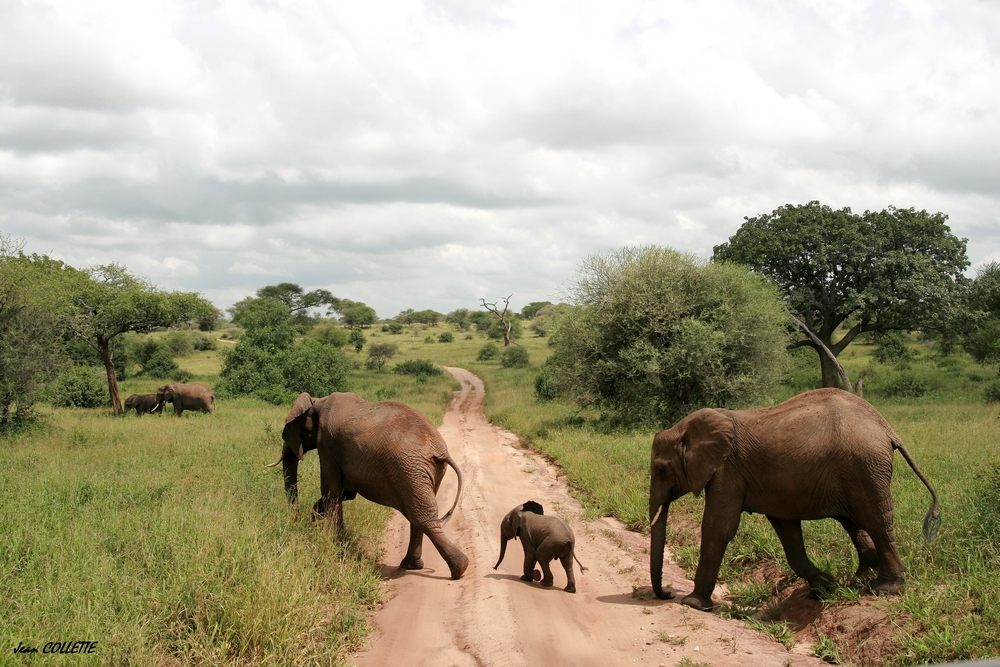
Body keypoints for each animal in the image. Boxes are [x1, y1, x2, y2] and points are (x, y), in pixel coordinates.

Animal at [266, 392, 468, 580]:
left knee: (421, 516)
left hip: (410, 470)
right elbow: (345, 492)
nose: (298, 523)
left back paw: (459, 568)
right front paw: (318, 517)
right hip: (424, 471)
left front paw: (336, 546)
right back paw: (413, 566)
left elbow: (332, 491)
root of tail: (440, 451)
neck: (317, 401)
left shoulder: (326, 444)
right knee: (418, 516)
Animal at [648, 388, 936, 612]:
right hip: (857, 471)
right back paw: (860, 578)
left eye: (660, 470)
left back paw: (885, 587)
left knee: (876, 521)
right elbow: (789, 535)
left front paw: (693, 604)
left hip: (865, 466)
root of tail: (885, 426)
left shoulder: (726, 472)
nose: (667, 594)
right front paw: (825, 588)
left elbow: (718, 528)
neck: (685, 428)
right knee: (854, 522)